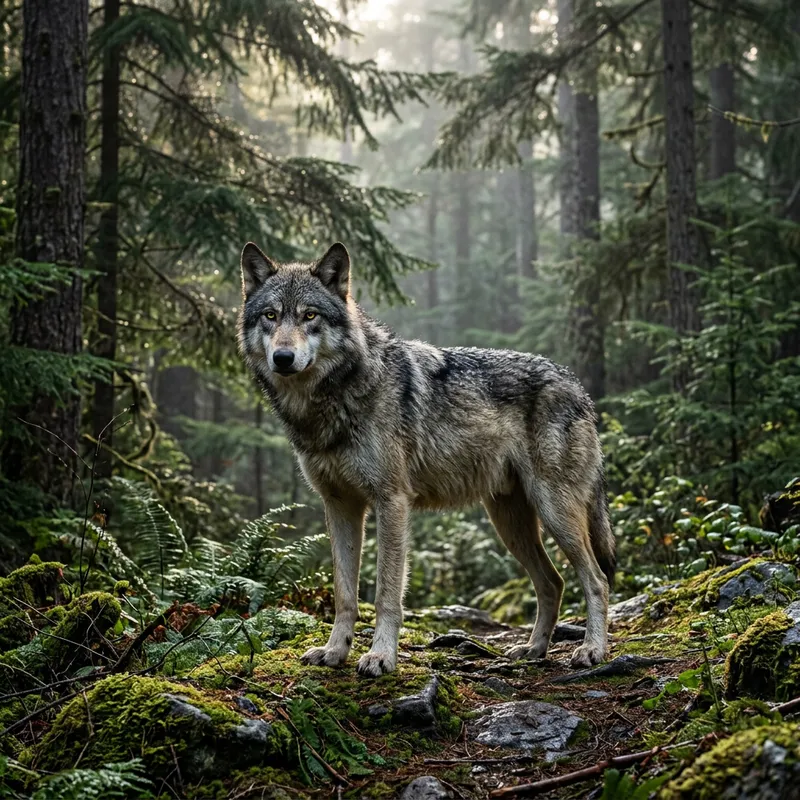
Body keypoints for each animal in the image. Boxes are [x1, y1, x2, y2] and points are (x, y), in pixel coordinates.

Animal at [237, 241, 615, 677]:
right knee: (553, 582)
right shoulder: (340, 506)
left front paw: (381, 656)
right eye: (271, 316)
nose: (283, 357)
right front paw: (335, 652)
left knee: (597, 580)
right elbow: (345, 593)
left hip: (555, 512)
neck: (334, 398)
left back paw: (592, 650)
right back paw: (533, 649)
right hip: (510, 524)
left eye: (309, 315)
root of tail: (578, 387)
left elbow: (386, 593)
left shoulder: (392, 502)